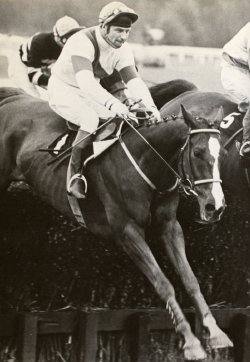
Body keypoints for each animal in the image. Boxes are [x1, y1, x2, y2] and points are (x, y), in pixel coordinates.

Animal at [0, 83, 231, 360]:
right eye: (197, 152)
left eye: (223, 154)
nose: (215, 206)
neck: (147, 162)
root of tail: (11, 97)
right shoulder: (126, 231)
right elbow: (163, 284)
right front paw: (190, 342)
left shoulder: (169, 225)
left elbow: (190, 279)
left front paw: (215, 331)